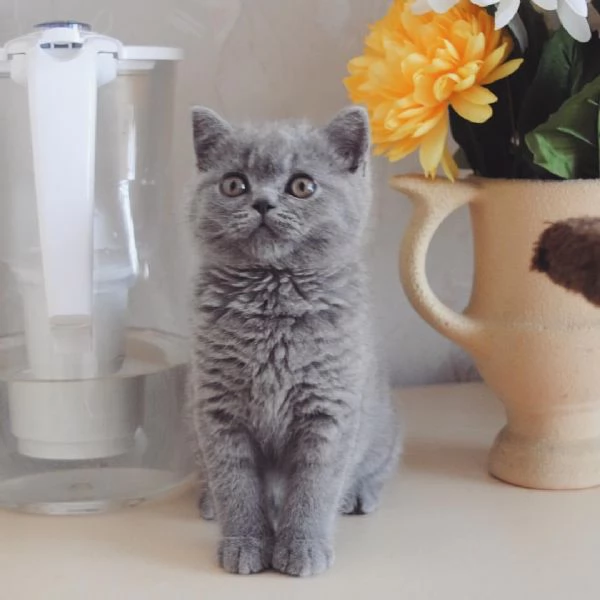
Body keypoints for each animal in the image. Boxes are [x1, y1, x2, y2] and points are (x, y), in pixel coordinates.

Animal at [186, 104, 404, 576]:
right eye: (234, 184)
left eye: (302, 186)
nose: (263, 203)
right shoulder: (216, 410)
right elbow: (235, 485)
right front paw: (244, 545)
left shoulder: (329, 411)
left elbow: (314, 488)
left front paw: (302, 548)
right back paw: (209, 501)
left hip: (383, 430)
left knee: (376, 468)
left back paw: (358, 495)